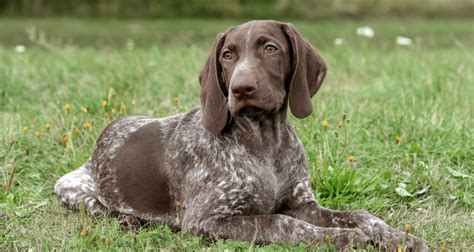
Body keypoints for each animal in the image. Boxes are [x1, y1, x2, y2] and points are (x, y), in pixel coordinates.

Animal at [55, 20, 430, 250]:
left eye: (270, 48)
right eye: (227, 54)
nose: (241, 88)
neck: (264, 142)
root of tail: (108, 131)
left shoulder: (302, 203)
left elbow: (361, 215)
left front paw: (395, 235)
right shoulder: (208, 219)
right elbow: (281, 223)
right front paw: (344, 237)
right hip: (71, 188)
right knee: (102, 208)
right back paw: (129, 219)